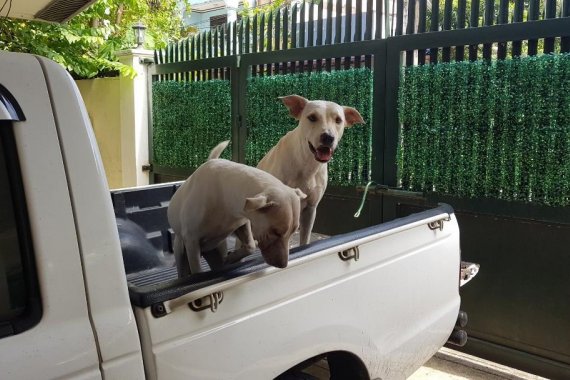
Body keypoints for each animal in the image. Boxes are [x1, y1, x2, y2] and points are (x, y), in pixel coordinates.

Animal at [168, 141, 306, 278]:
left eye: (294, 231)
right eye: (275, 232)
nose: (283, 265)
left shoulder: (241, 222)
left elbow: (250, 246)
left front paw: (232, 257)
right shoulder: (191, 242)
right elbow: (197, 270)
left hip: (216, 252)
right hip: (181, 251)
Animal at [258, 93, 364, 245]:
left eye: (338, 120)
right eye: (312, 117)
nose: (328, 137)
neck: (306, 162)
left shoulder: (310, 210)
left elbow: (304, 240)